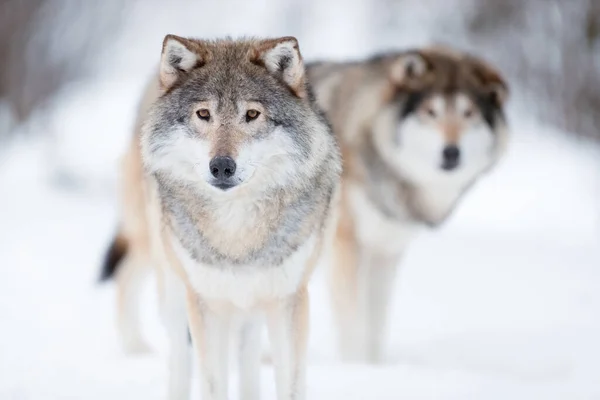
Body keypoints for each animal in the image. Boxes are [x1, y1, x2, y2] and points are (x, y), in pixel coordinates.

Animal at [99, 35, 342, 400]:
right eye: (204, 114)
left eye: (252, 114)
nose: (222, 166)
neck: (236, 231)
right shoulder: (205, 302)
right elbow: (211, 381)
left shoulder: (287, 300)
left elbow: (289, 383)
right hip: (171, 284)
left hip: (248, 306)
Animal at [308, 46, 508, 362]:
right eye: (431, 112)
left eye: (468, 114)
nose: (451, 153)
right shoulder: (346, 244)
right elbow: (354, 324)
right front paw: (356, 365)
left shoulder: (386, 252)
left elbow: (376, 324)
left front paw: (375, 367)